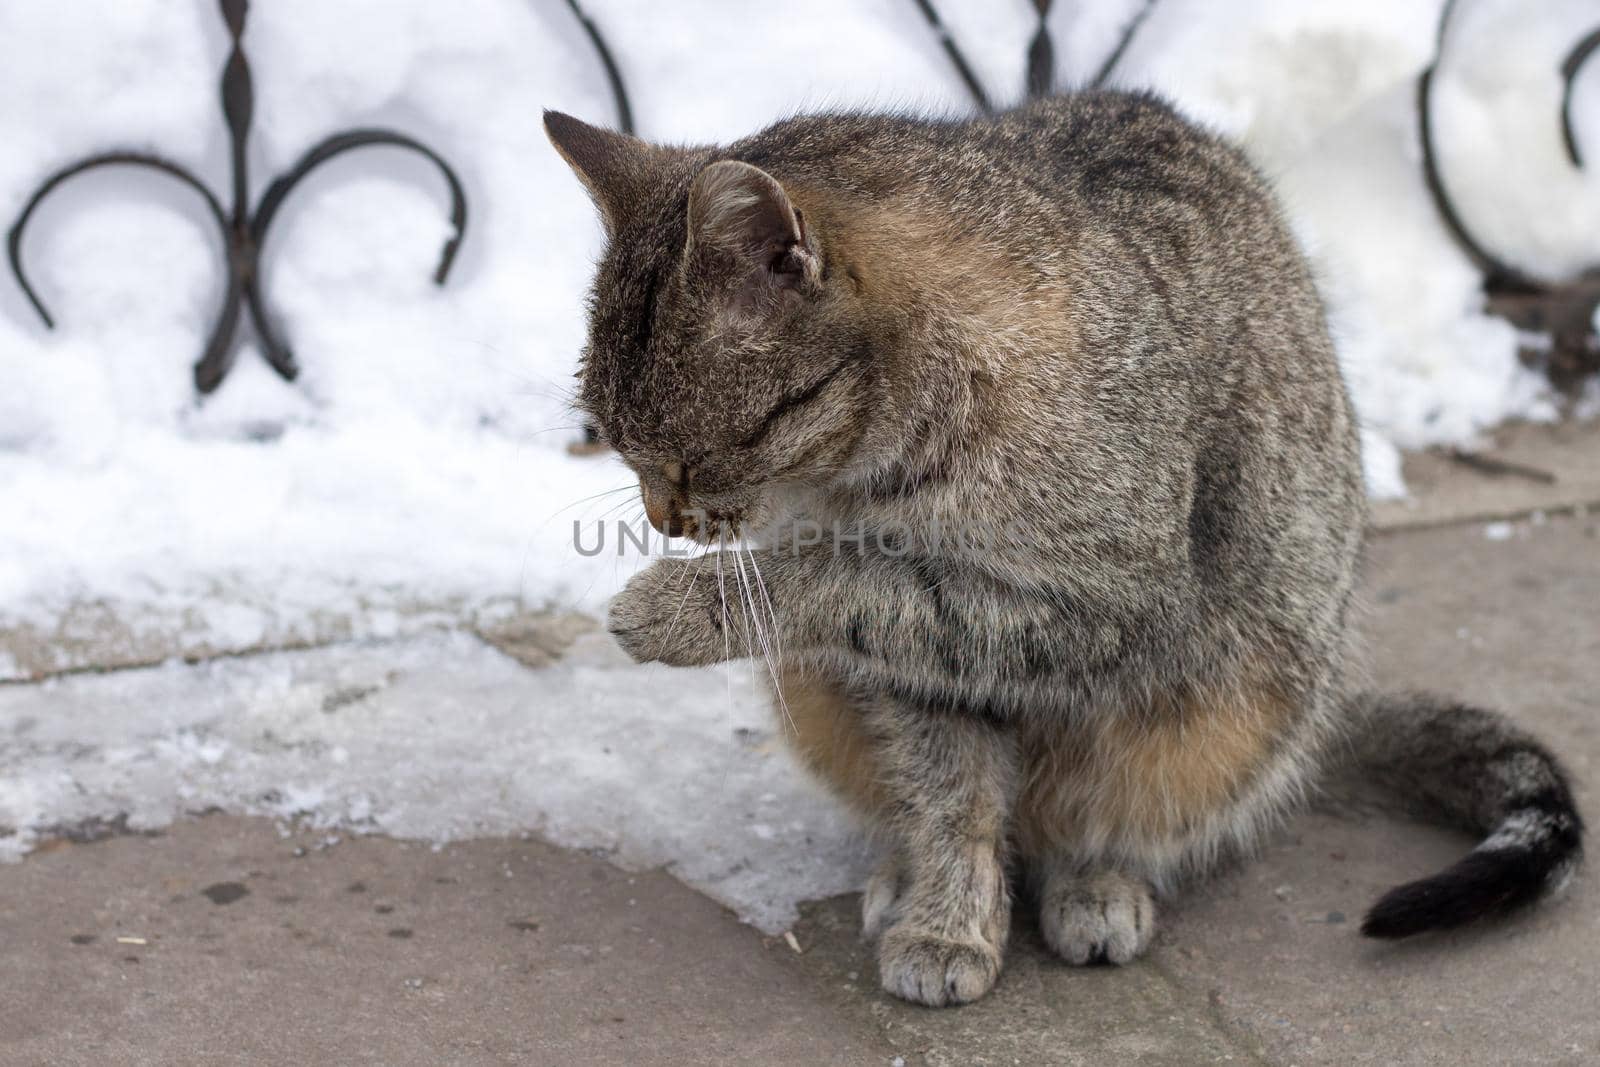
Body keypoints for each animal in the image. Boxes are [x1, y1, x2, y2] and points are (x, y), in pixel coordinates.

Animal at [544, 93, 1580, 1011]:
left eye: (686, 455)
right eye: (612, 440)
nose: (665, 518)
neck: (883, 468)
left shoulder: (1121, 605)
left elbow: (845, 582)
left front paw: (683, 604)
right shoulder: (920, 677)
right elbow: (950, 788)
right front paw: (948, 914)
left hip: (1236, 697)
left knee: (1110, 805)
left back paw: (1096, 881)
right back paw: (908, 873)